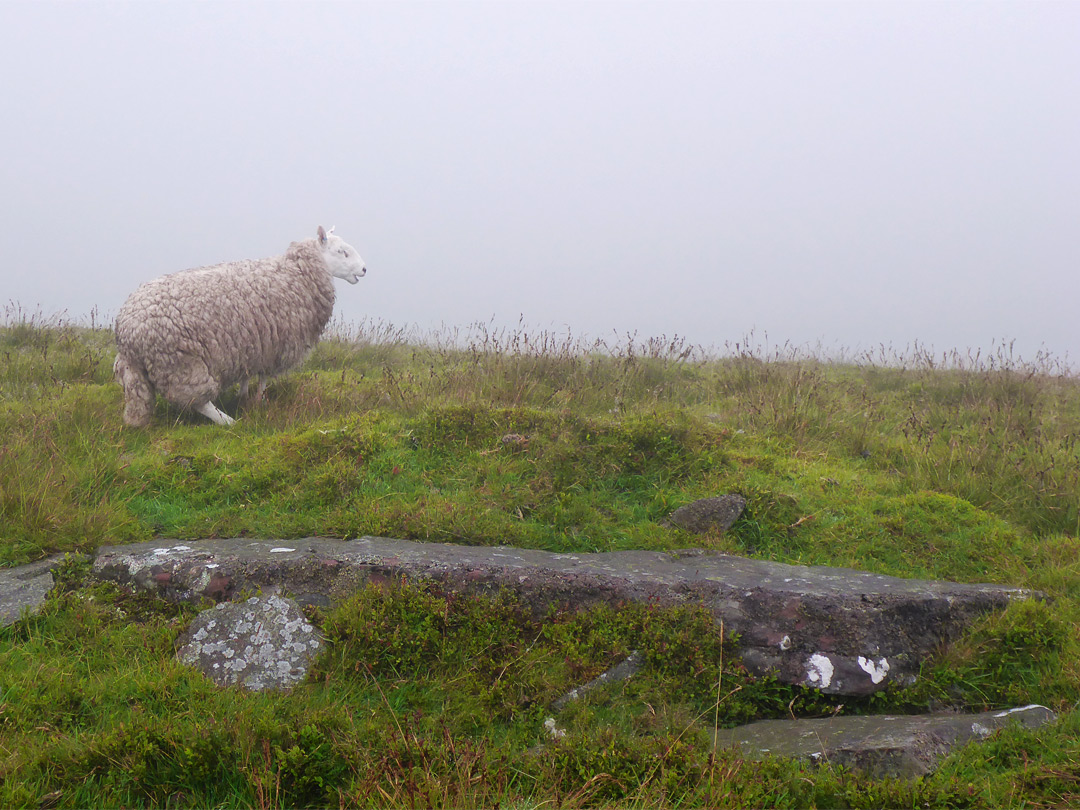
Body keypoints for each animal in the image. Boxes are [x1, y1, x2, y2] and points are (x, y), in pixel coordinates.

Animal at [113, 225, 367, 427]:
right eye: (341, 252)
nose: (364, 269)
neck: (295, 273)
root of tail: (127, 332)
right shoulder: (276, 344)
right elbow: (263, 377)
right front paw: (257, 401)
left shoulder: (252, 343)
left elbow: (247, 374)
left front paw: (244, 396)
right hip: (180, 363)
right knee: (196, 400)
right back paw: (228, 422)